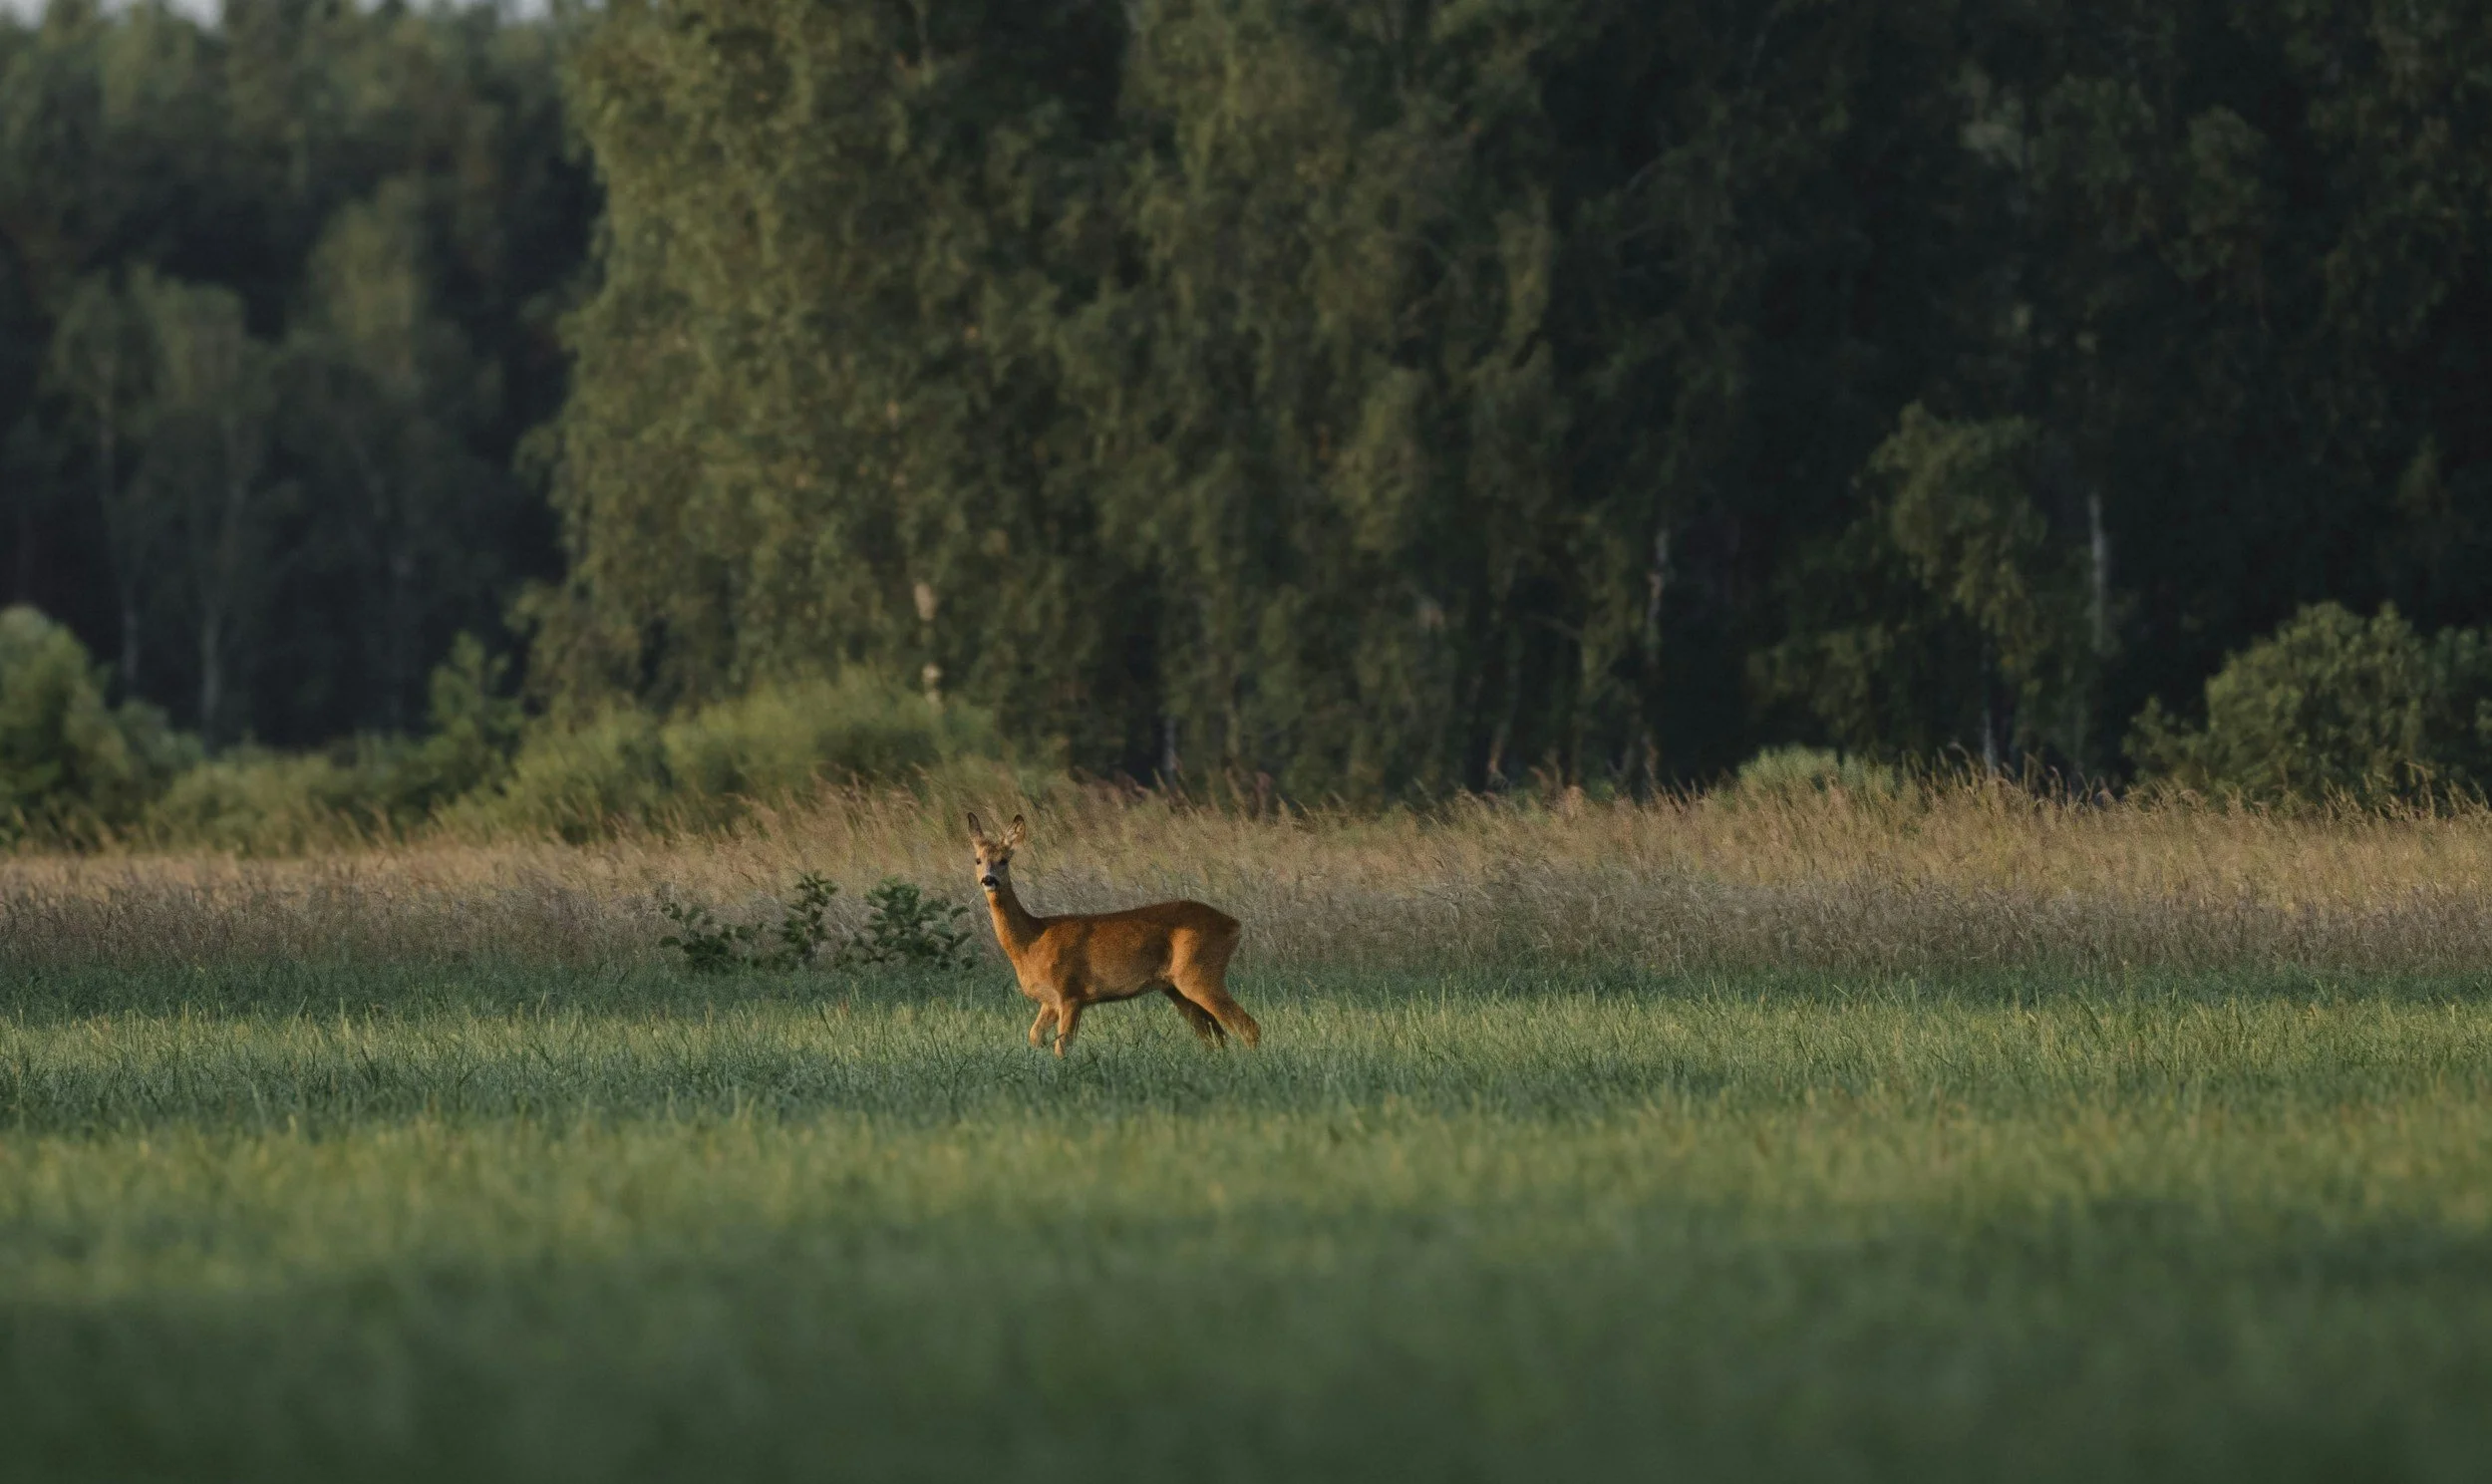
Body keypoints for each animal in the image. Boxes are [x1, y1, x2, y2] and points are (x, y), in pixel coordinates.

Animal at [966, 812, 1262, 1056]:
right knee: (1216, 1036)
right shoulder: (1050, 1002)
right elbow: (1034, 1037)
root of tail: (1235, 924)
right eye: (978, 860)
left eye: (1004, 860)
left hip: (1199, 971)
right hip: (1175, 987)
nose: (989, 880)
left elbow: (1062, 1048)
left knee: (1247, 1026)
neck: (1031, 942)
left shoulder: (1071, 991)